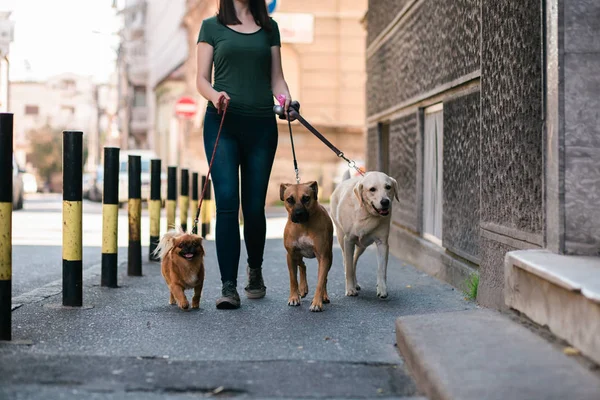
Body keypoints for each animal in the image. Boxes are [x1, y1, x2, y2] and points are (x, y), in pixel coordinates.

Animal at [280, 181, 336, 312]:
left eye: (306, 198)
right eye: (289, 199)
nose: (298, 214)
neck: (303, 226)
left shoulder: (323, 257)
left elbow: (320, 281)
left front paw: (317, 302)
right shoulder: (290, 255)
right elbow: (293, 279)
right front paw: (294, 297)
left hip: (329, 257)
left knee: (324, 278)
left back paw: (324, 296)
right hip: (297, 255)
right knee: (303, 265)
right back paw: (303, 289)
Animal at [328, 172, 398, 300]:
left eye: (388, 187)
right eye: (372, 189)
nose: (385, 202)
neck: (366, 213)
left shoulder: (382, 243)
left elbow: (381, 269)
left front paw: (382, 289)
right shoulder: (348, 241)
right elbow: (348, 268)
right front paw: (350, 289)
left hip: (362, 246)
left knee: (354, 261)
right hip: (341, 238)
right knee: (347, 262)